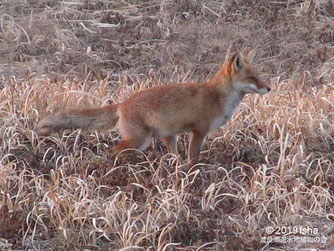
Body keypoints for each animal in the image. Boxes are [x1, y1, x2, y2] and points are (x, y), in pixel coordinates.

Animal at [37, 50, 272, 167]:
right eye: (252, 78)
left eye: (258, 76)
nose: (269, 88)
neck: (218, 98)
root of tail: (122, 104)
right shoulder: (199, 131)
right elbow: (194, 159)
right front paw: (194, 175)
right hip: (139, 141)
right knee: (111, 152)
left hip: (167, 137)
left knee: (172, 157)